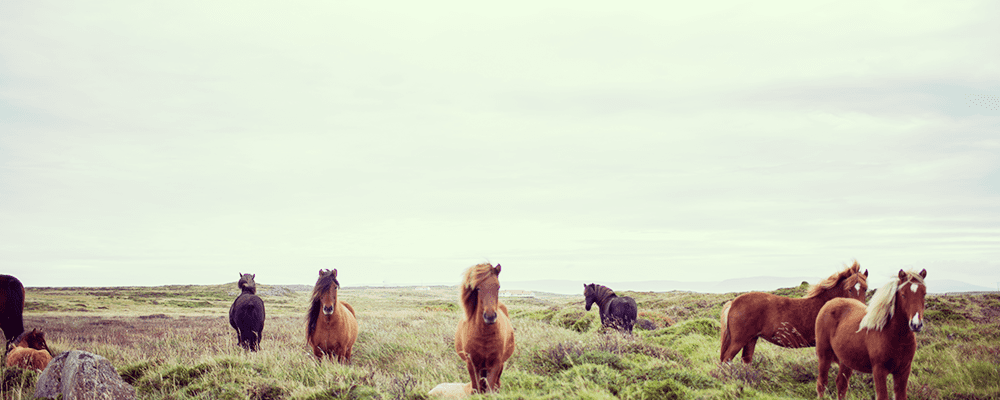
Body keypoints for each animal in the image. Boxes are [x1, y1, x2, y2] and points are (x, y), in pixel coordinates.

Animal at [456, 262, 516, 394]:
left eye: (498, 287)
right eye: (478, 288)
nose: (490, 316)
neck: (484, 336)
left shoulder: (495, 364)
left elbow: (490, 389)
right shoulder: (472, 365)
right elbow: (476, 388)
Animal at [720, 260, 868, 364]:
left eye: (865, 288)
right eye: (849, 289)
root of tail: (733, 302)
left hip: (751, 339)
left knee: (746, 360)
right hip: (739, 340)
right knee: (726, 360)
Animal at [812, 268, 928, 400]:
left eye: (924, 294)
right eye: (903, 294)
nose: (916, 324)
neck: (895, 337)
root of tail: (828, 304)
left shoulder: (903, 370)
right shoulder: (879, 371)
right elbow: (882, 396)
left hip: (846, 362)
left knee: (841, 384)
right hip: (824, 357)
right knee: (822, 383)